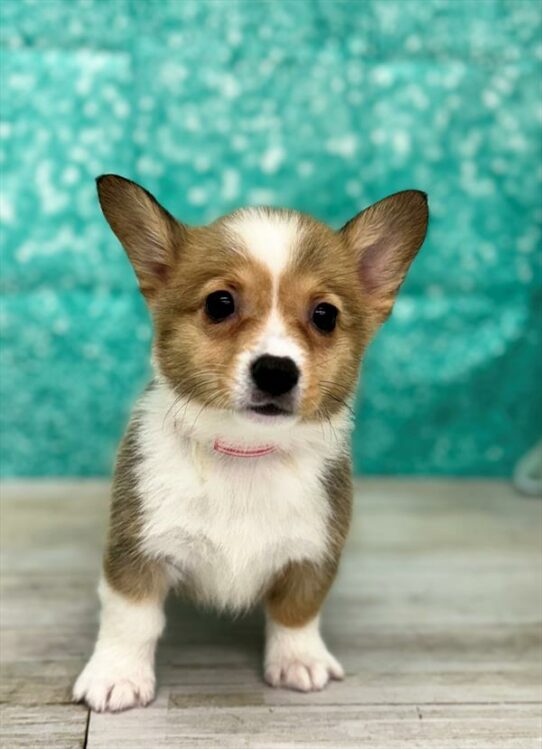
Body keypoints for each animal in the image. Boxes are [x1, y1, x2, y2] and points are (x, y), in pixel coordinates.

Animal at [73, 172, 430, 712]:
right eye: (220, 303)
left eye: (325, 315)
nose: (277, 371)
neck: (244, 453)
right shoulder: (137, 549)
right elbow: (131, 617)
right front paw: (117, 675)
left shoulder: (312, 553)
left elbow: (297, 611)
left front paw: (298, 660)